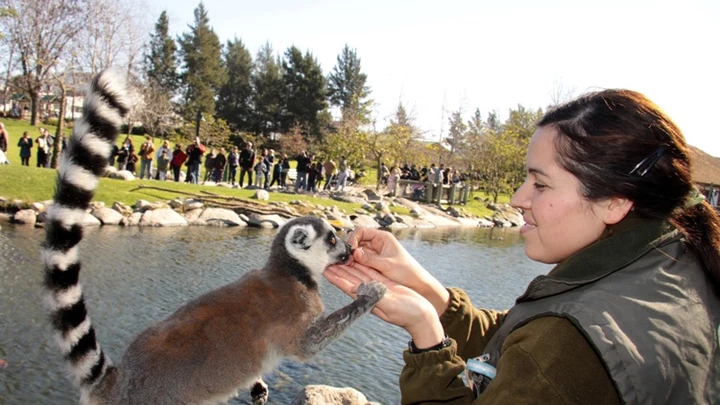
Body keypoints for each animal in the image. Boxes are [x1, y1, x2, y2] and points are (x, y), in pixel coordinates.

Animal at [41, 69, 387, 405]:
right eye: (332, 240)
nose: (348, 250)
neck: (291, 269)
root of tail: (122, 382)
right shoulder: (298, 309)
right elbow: (310, 344)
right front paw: (370, 296)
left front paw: (257, 385)